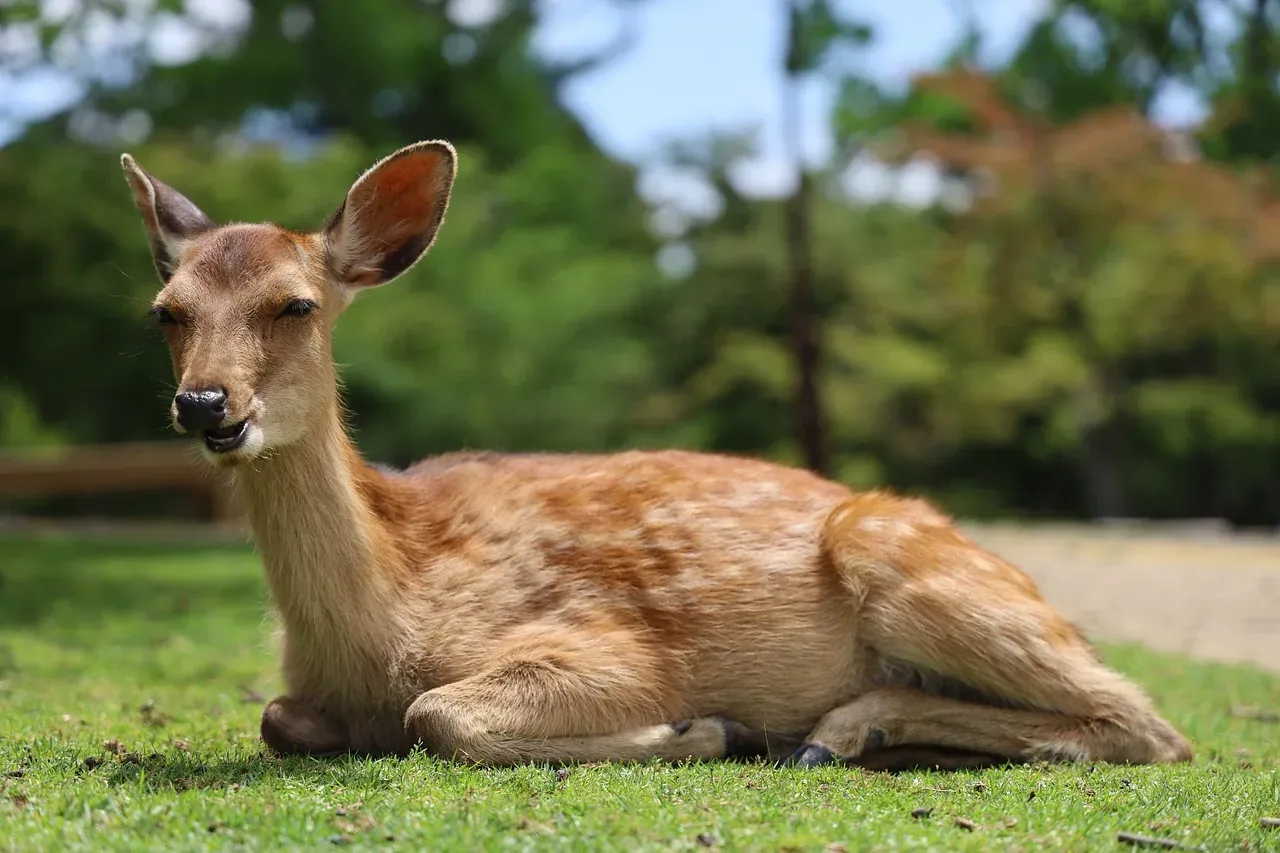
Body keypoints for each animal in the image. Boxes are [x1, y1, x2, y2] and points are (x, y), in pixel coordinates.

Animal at [118, 140, 1193, 771]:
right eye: (167, 313)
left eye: (296, 304)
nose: (205, 402)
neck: (380, 620)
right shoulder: (306, 693)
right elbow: (278, 716)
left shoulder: (602, 644)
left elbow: (440, 714)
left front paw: (705, 726)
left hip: (915, 565)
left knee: (1151, 724)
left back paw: (831, 731)